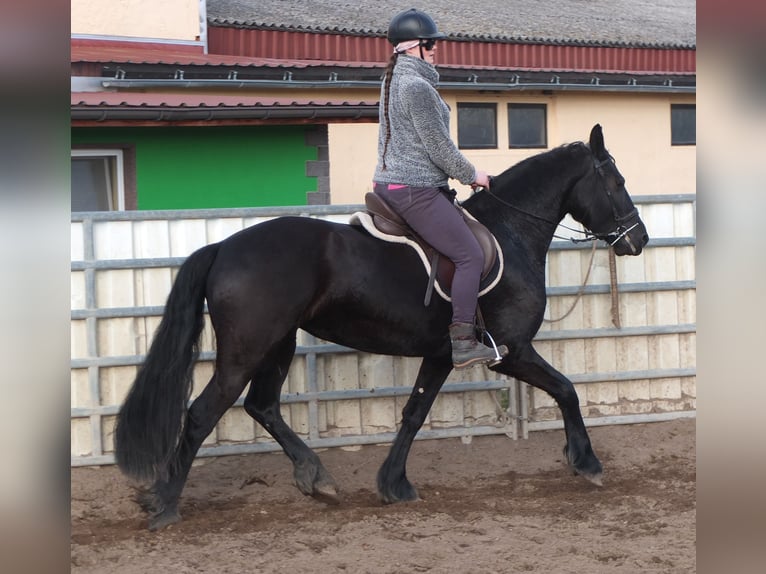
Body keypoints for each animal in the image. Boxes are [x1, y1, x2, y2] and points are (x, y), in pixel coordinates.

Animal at [117, 125, 652, 532]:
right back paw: (164, 504)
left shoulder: (441, 354)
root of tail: (224, 247)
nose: (639, 239)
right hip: (247, 350)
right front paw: (587, 463)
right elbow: (566, 390)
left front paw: (394, 484)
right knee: (202, 413)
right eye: (617, 181)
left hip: (279, 344)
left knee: (261, 405)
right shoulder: (512, 351)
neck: (510, 234)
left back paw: (316, 478)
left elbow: (413, 414)